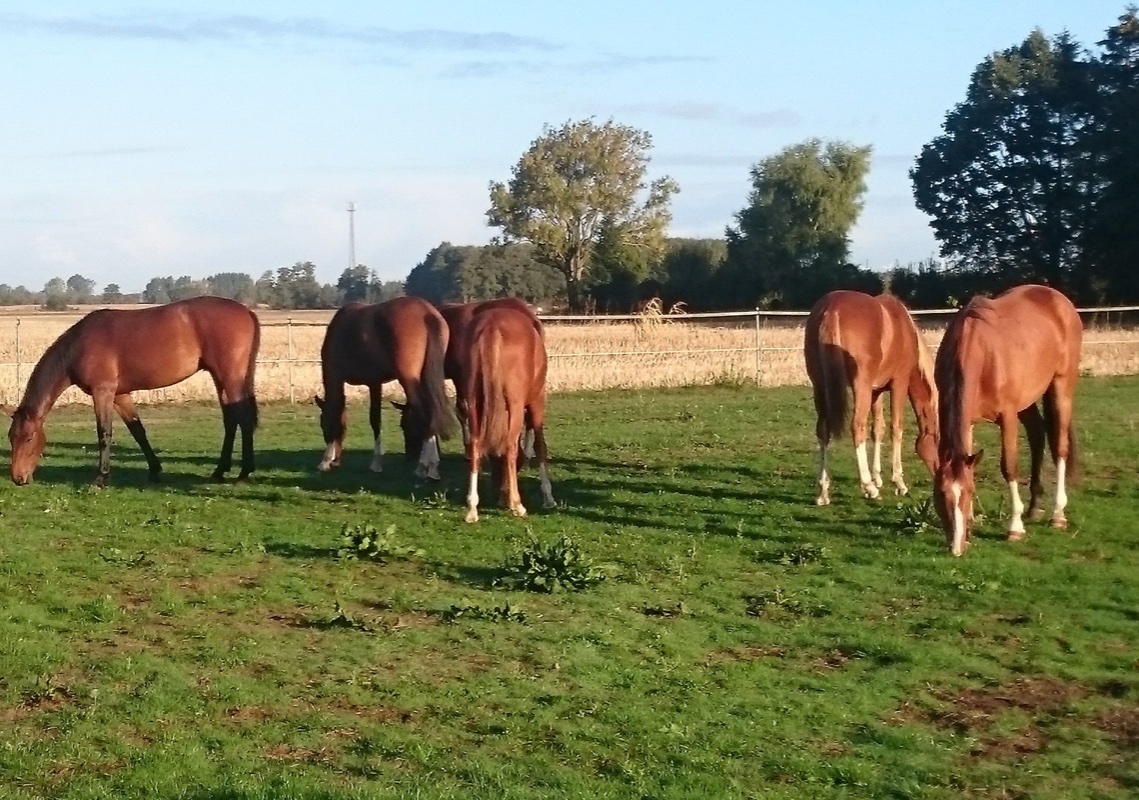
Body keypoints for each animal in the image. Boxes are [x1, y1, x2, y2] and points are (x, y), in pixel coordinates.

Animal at [5, 296, 260, 486]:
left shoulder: (103, 392)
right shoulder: (120, 395)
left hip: (230, 376)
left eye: (29, 438)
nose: (18, 478)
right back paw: (220, 471)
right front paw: (155, 470)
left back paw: (244, 473)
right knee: (231, 420)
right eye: (10, 437)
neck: (78, 346)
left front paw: (101, 478)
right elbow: (138, 431)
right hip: (221, 378)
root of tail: (246, 311)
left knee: (243, 418)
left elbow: (104, 433)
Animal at [315, 295, 455, 480]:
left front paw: (325, 461)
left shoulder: (336, 378)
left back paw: (426, 466)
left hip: (408, 379)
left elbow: (336, 415)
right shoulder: (375, 383)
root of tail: (427, 313)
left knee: (425, 415)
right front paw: (376, 463)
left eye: (321, 423)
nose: (336, 460)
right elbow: (375, 420)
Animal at [460, 305, 555, 522]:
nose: (501, 496)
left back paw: (472, 507)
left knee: (475, 444)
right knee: (511, 447)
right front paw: (548, 496)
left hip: (474, 402)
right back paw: (518, 505)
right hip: (516, 404)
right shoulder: (537, 401)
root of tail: (491, 325)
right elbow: (540, 446)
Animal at [804, 290, 938, 506]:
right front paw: (898, 482)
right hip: (861, 387)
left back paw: (824, 492)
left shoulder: (876, 392)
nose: (938, 473)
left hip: (820, 385)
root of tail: (832, 308)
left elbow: (878, 429)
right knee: (857, 427)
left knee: (823, 431)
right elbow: (896, 428)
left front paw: (878, 477)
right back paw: (868, 487)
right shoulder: (899, 383)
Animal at [933, 284, 1082, 557]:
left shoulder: (1008, 417)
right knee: (1037, 434)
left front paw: (1015, 528)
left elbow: (1009, 467)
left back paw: (1057, 514)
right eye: (940, 493)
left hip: (1061, 387)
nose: (956, 547)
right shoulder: (967, 422)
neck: (981, 354)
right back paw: (1034, 507)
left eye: (968, 492)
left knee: (1059, 446)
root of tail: (1057, 297)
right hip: (1029, 398)